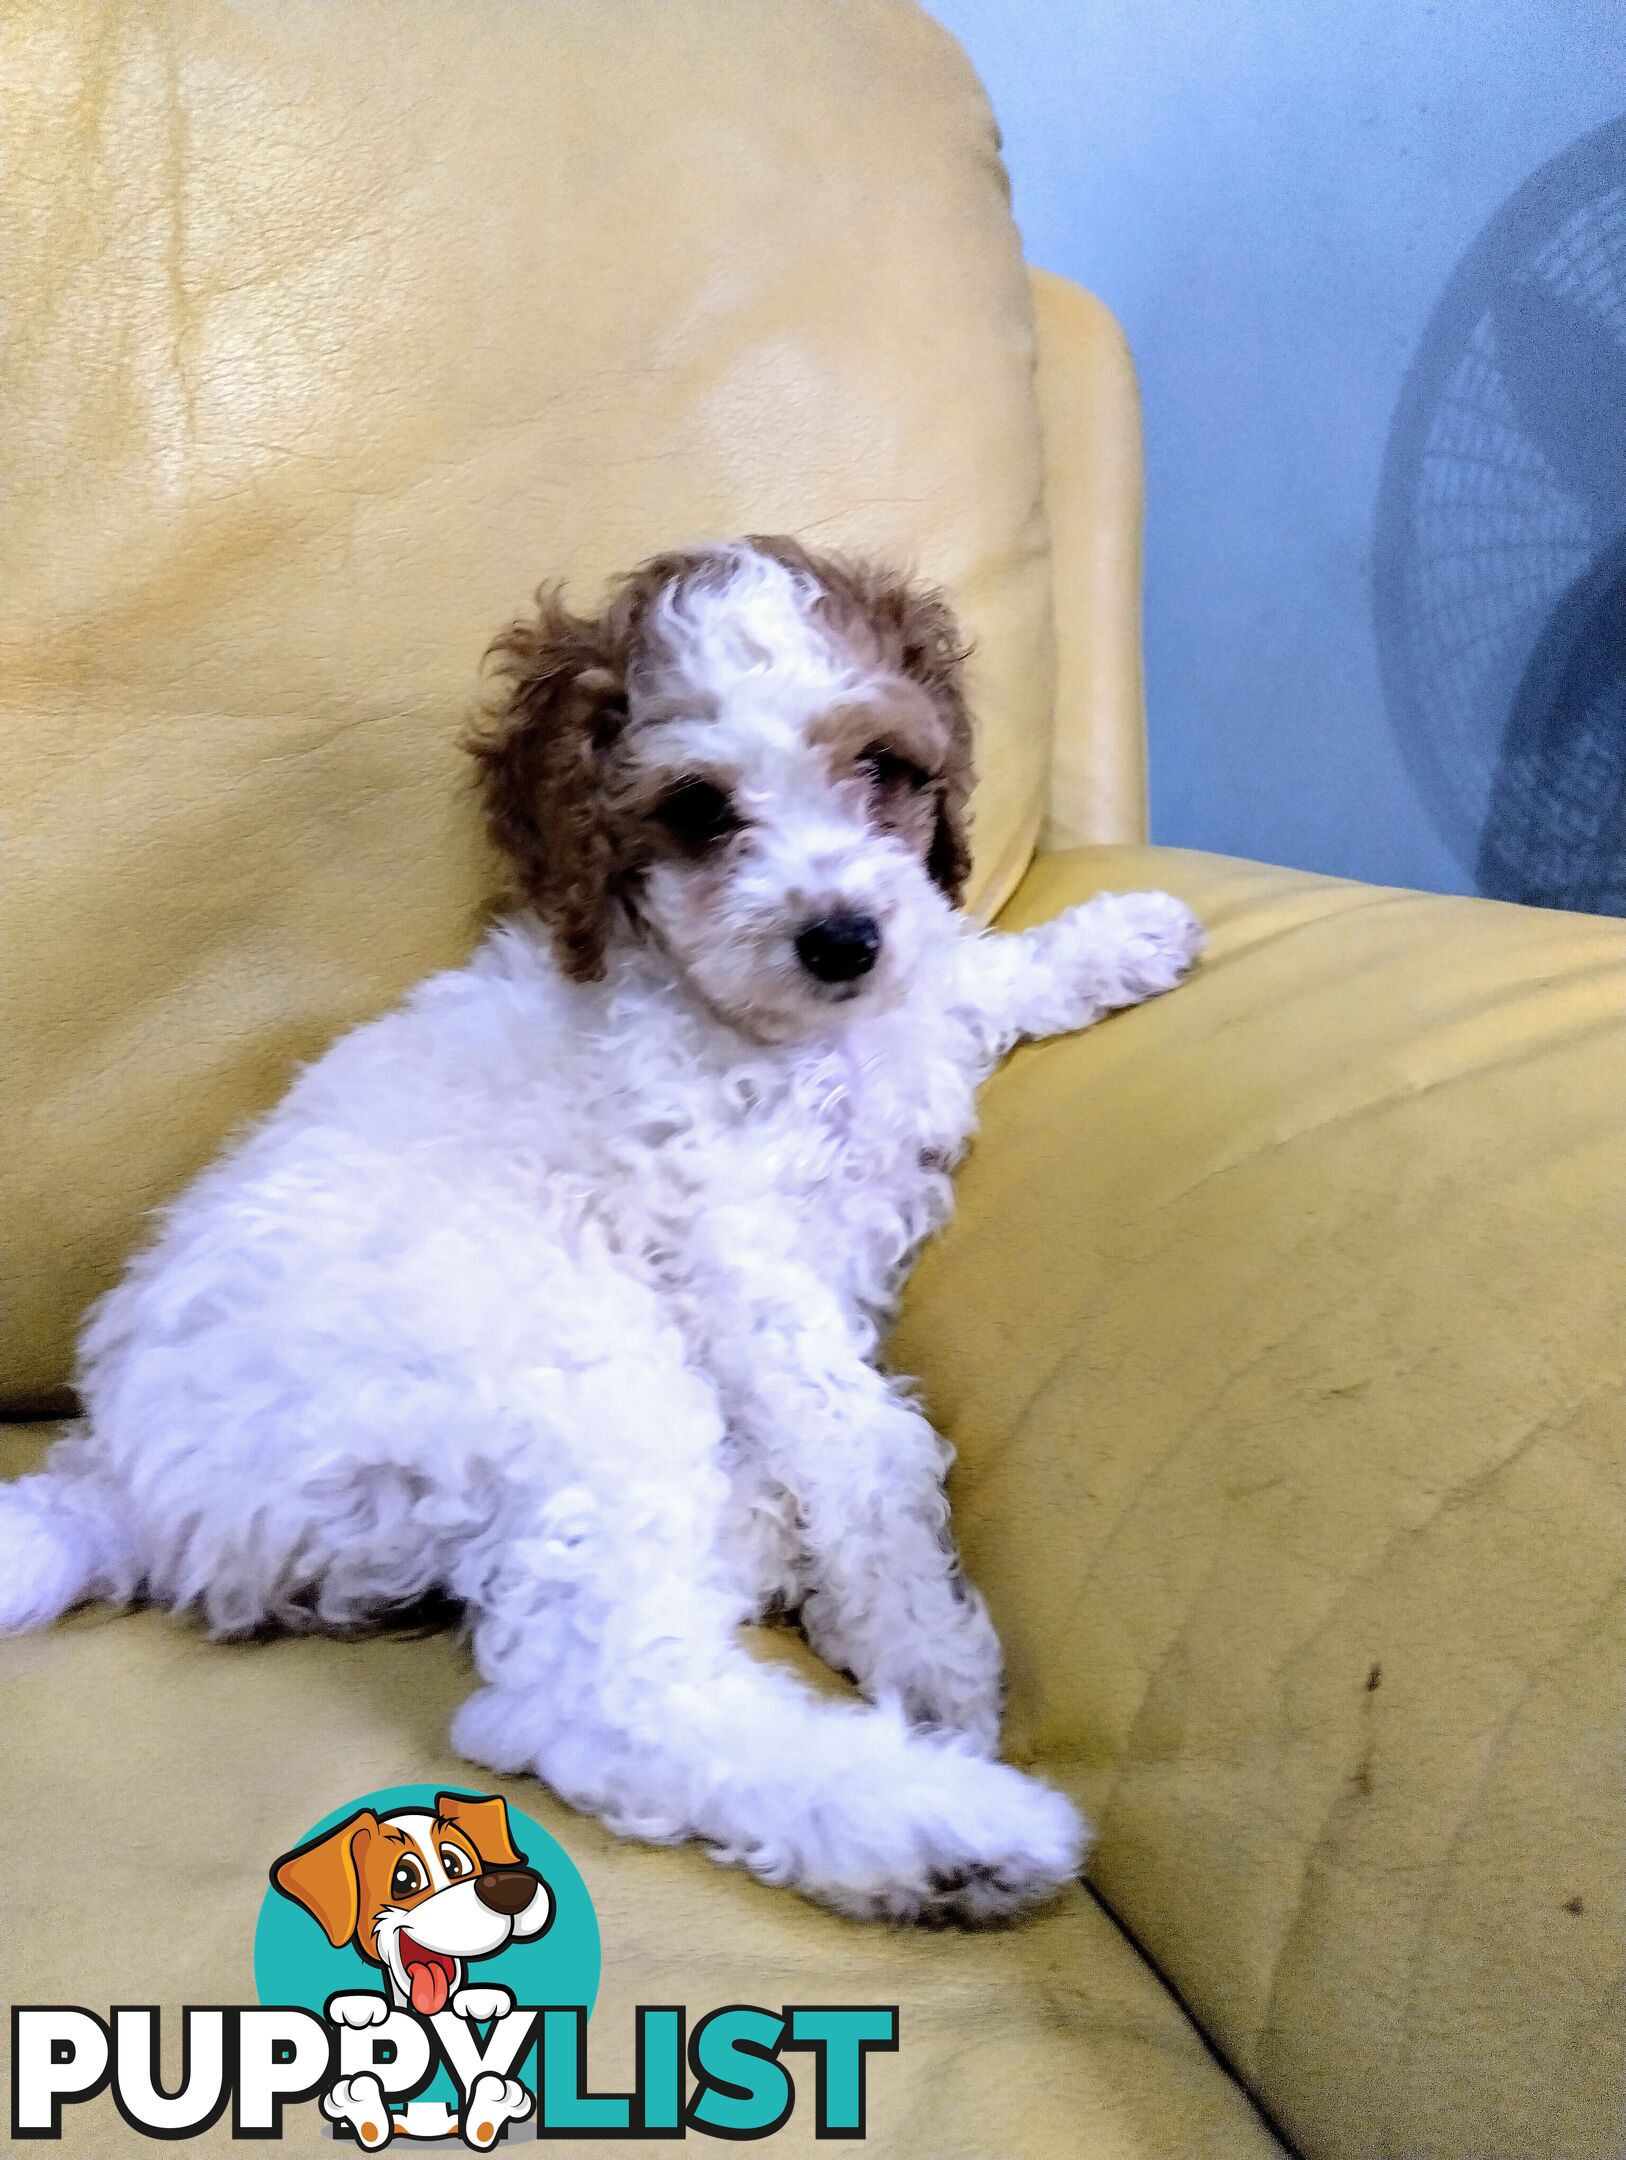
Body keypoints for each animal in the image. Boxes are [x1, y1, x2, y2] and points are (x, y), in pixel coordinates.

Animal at [0, 535, 1200, 1926]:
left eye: (885, 768)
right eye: (700, 811)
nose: (842, 940)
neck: (776, 1032)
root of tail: (108, 1478)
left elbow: (957, 967)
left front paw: (1117, 938)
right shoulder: (738, 1254)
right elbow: (867, 1446)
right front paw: (925, 1642)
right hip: (579, 1373)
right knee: (586, 1696)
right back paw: (952, 1833)